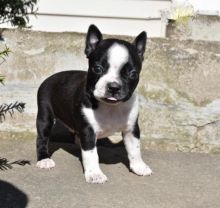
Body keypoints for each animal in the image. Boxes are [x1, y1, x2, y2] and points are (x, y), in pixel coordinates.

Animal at [36, 24, 153, 184]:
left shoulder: (131, 129)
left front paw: (139, 167)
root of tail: (50, 77)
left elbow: (135, 149)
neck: (111, 107)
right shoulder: (88, 131)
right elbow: (91, 154)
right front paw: (94, 174)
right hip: (45, 116)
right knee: (42, 137)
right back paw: (44, 159)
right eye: (98, 69)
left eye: (133, 74)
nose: (114, 87)